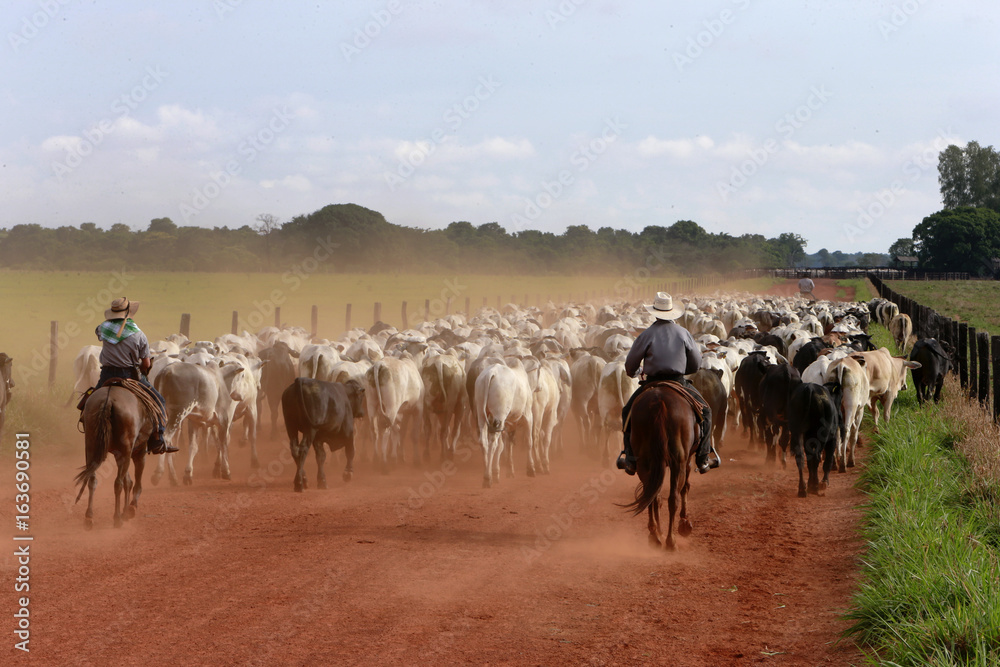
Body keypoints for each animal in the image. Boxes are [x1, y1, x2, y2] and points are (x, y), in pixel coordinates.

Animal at [74, 384, 154, 528]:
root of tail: (108, 401)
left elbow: (128, 481)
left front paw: (126, 511)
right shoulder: (138, 450)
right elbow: (135, 481)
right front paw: (130, 509)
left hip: (91, 447)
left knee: (92, 479)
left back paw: (89, 517)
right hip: (126, 449)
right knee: (118, 483)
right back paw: (117, 518)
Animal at [620, 384, 700, 552]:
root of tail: (659, 402)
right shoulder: (687, 460)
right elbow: (685, 487)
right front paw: (684, 523)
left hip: (644, 463)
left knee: (652, 497)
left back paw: (655, 536)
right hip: (678, 462)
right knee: (673, 498)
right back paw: (671, 541)